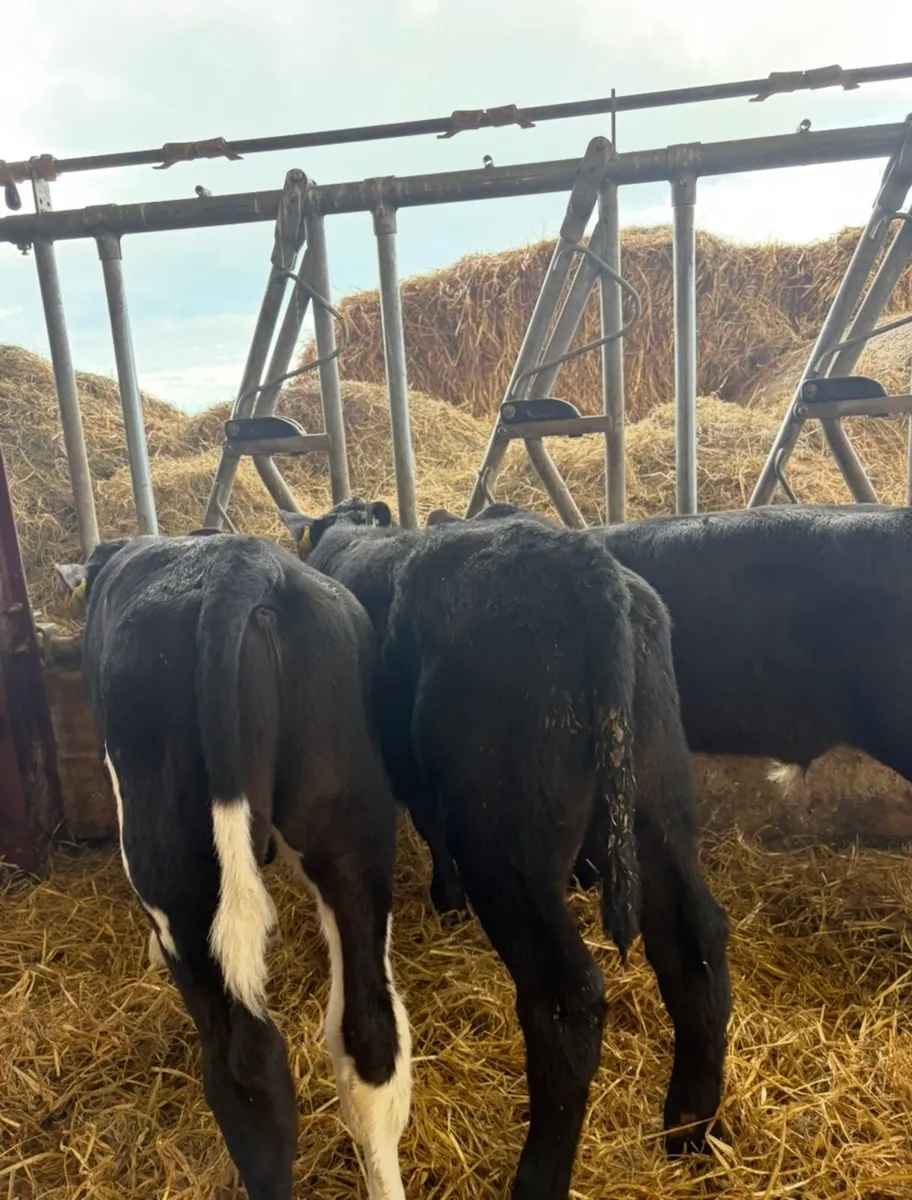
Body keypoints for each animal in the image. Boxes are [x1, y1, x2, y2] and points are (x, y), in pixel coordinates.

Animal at [280, 499, 730, 1200]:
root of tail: (586, 567)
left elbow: (432, 830)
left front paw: (447, 899)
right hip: (658, 804)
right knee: (694, 942)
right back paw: (686, 1125)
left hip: (505, 846)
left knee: (566, 995)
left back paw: (539, 1174)